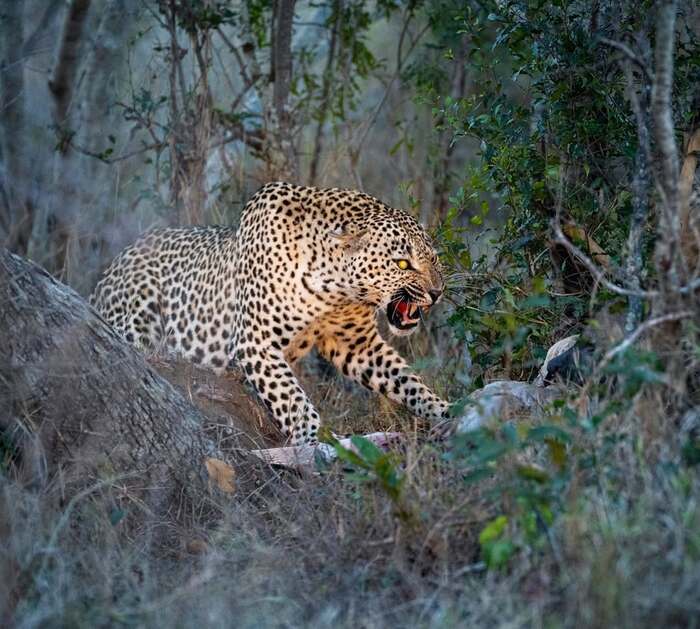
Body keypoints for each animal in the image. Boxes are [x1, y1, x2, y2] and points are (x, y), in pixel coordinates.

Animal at [90, 182, 452, 444]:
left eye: (434, 258)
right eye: (402, 263)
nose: (437, 292)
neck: (338, 291)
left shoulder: (356, 344)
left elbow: (407, 380)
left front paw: (445, 411)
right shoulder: (257, 342)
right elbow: (294, 401)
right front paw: (313, 441)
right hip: (139, 309)